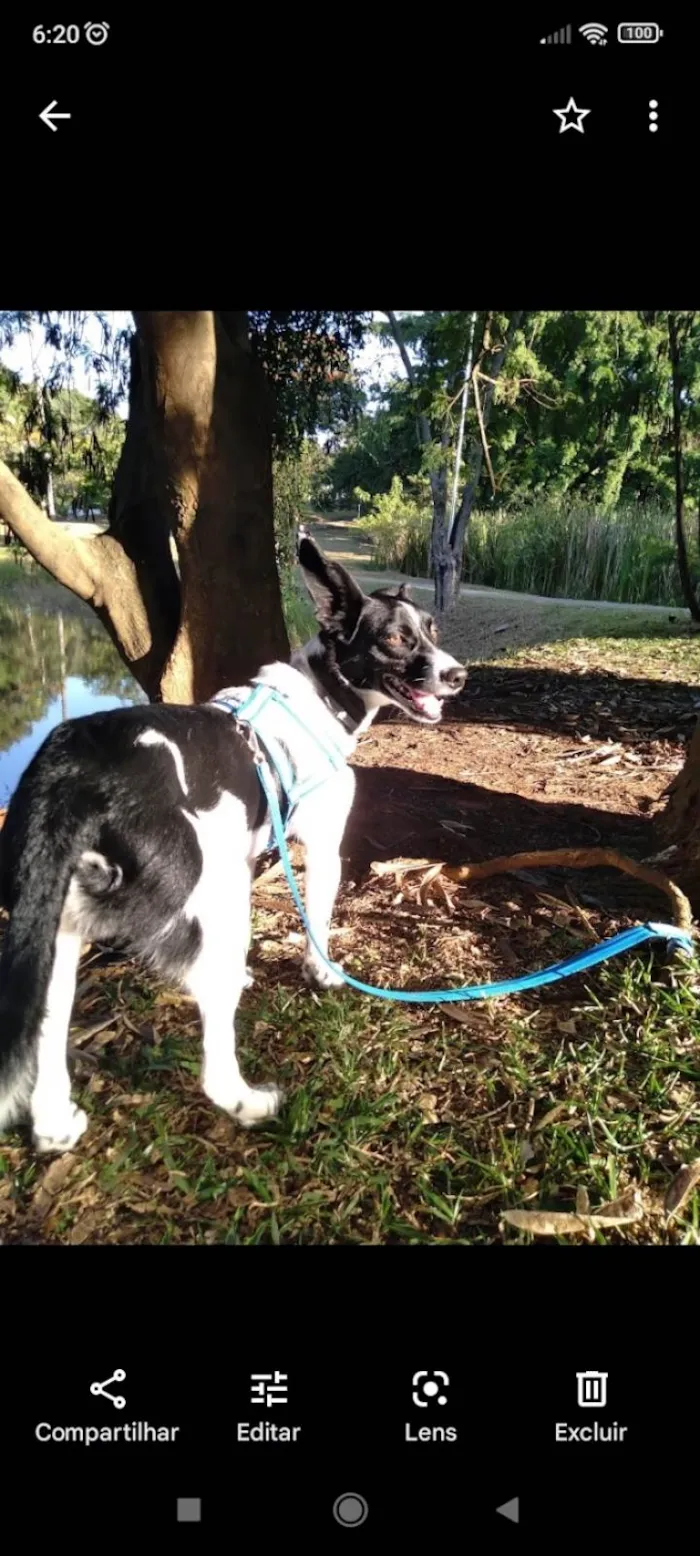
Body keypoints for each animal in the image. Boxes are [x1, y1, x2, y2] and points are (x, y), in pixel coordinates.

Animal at [1, 538, 463, 1157]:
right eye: (394, 638)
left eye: (433, 630)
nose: (458, 675)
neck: (322, 696)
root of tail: (71, 770)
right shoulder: (323, 849)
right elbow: (318, 924)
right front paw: (321, 973)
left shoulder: (240, 863)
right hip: (191, 910)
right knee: (210, 1025)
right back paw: (246, 1102)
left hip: (59, 928)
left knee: (46, 1024)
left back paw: (53, 1124)